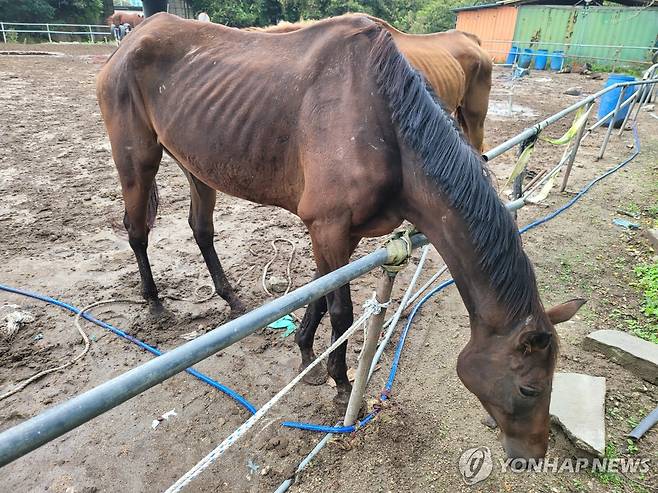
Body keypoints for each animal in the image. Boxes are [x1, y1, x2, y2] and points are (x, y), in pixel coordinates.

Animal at [95, 12, 580, 458]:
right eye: (531, 389)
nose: (533, 454)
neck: (384, 125)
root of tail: (131, 39)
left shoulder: (339, 235)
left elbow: (319, 294)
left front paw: (307, 357)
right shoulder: (328, 227)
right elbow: (341, 311)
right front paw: (342, 384)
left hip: (196, 165)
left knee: (201, 229)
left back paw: (231, 298)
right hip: (137, 160)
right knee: (137, 231)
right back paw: (154, 302)